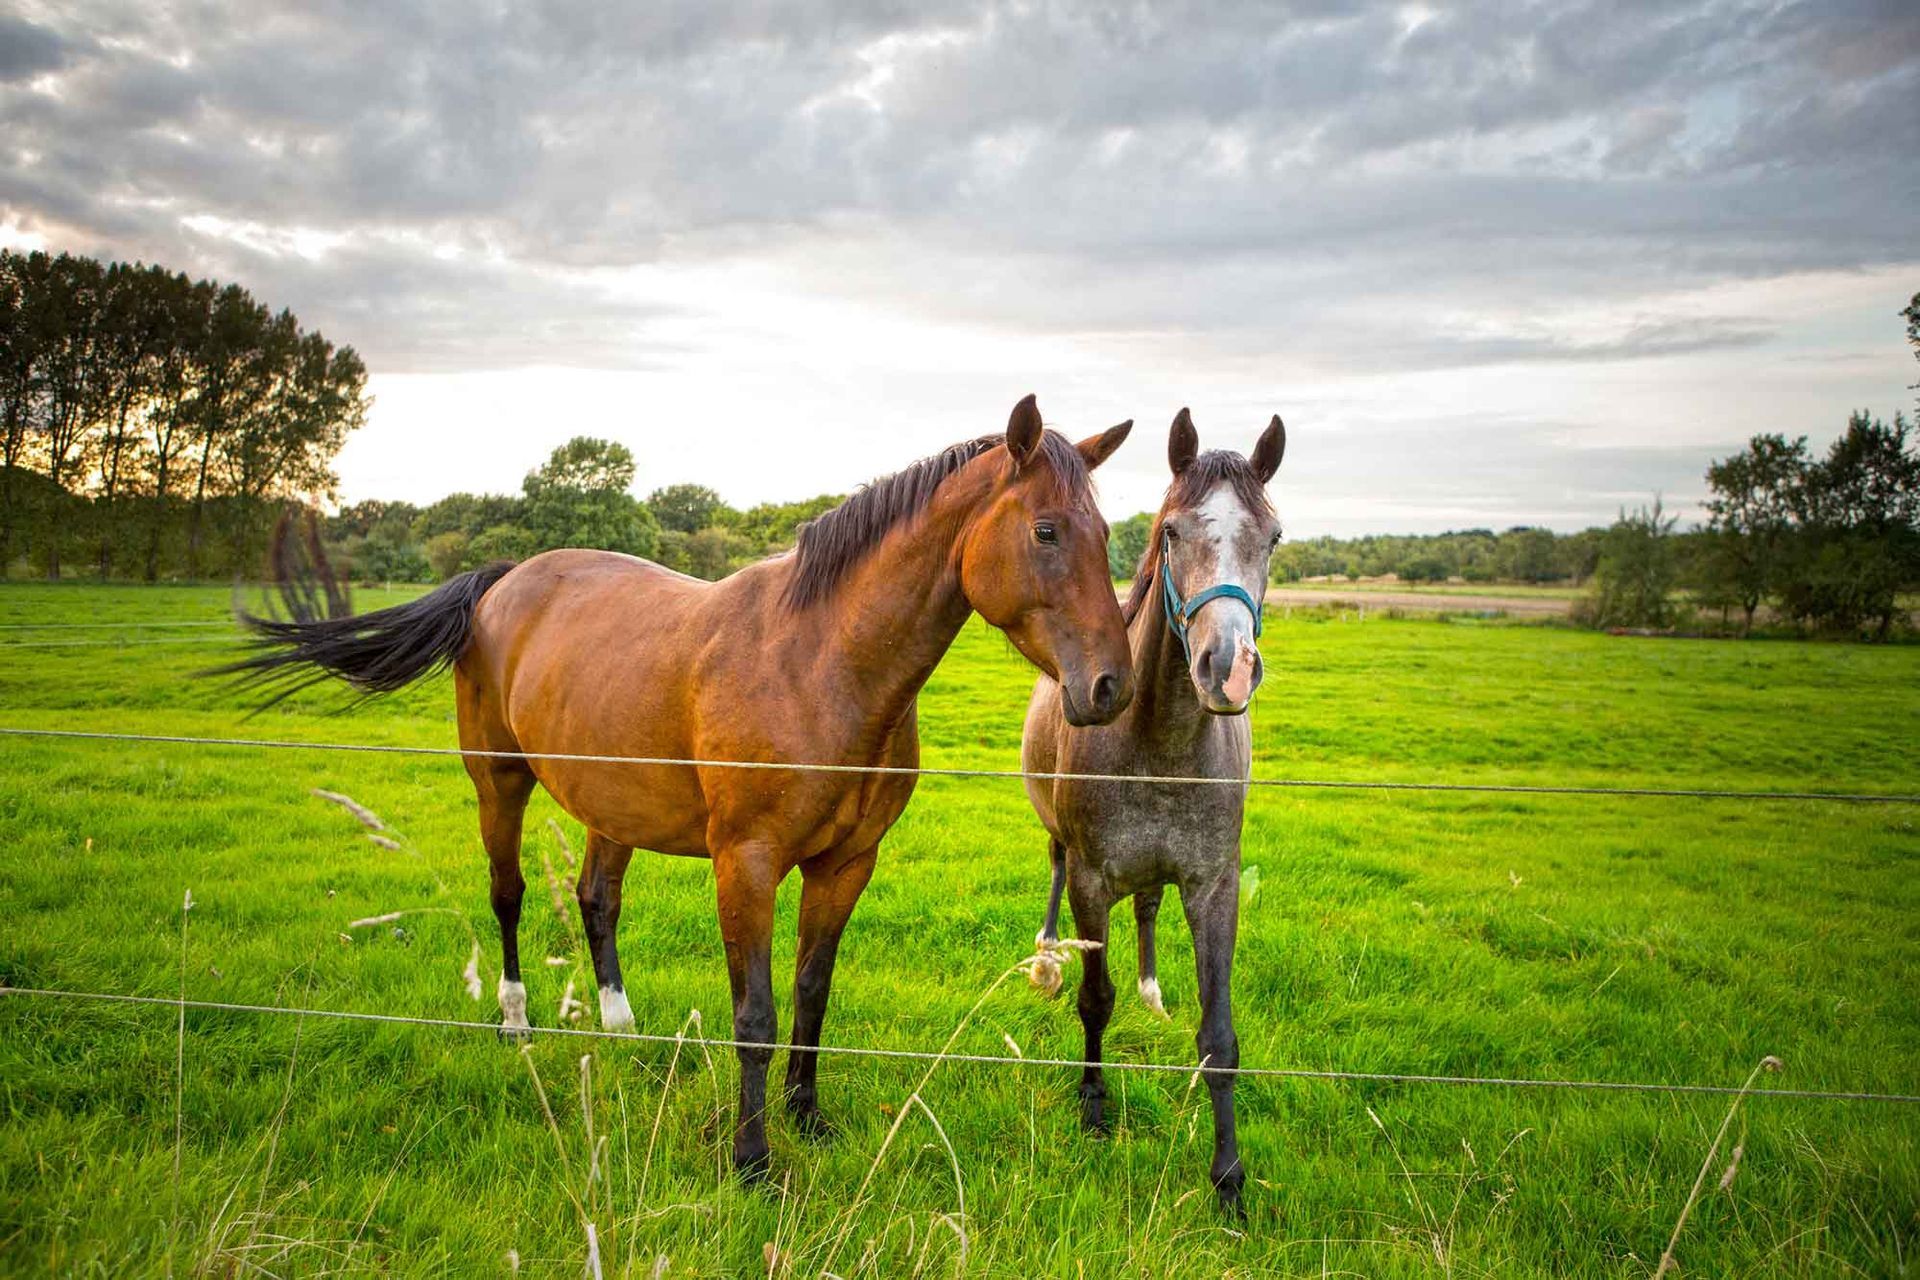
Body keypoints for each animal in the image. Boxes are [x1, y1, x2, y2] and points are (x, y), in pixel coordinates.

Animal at [225, 395, 1137, 1180]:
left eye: (1105, 535)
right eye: (1047, 530)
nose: (1109, 687)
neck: (820, 665)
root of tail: (508, 577)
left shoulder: (847, 864)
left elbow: (811, 995)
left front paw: (807, 1118)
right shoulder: (747, 863)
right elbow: (756, 1015)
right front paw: (752, 1159)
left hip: (609, 801)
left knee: (596, 899)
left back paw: (622, 1029)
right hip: (499, 782)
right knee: (508, 895)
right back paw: (516, 1021)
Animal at [1021, 407, 1285, 1213]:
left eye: (1274, 536)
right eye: (1170, 530)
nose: (1226, 667)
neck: (1161, 741)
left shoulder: (1213, 885)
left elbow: (1219, 1039)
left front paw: (1229, 1179)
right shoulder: (1091, 880)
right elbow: (1094, 1001)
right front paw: (1093, 1106)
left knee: (1146, 909)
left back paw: (1152, 990)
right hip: (1061, 844)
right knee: (1056, 877)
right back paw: (1046, 960)